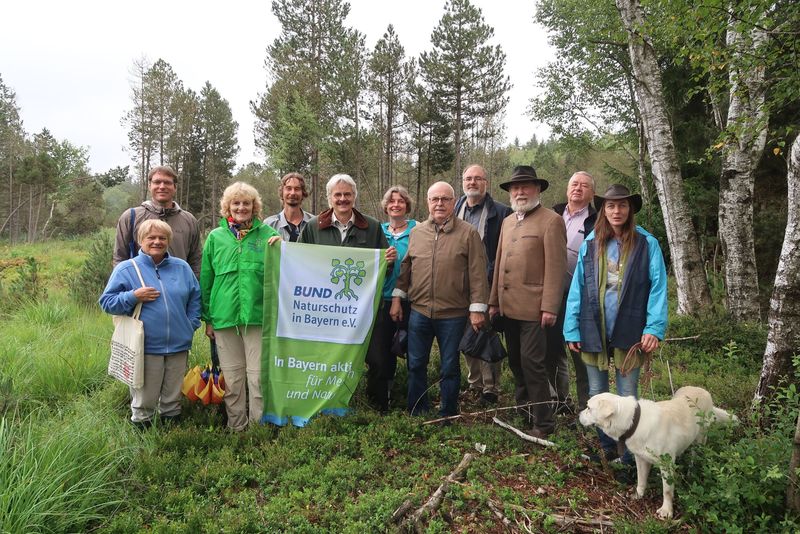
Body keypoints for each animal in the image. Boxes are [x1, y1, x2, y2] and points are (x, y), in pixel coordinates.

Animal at [576, 388, 736, 520]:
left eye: (588, 408)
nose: (578, 414)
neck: (634, 421)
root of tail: (704, 390)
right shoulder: (640, 459)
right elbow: (641, 480)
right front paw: (638, 495)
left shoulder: (666, 464)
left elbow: (667, 491)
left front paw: (666, 511)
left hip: (700, 439)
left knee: (695, 456)